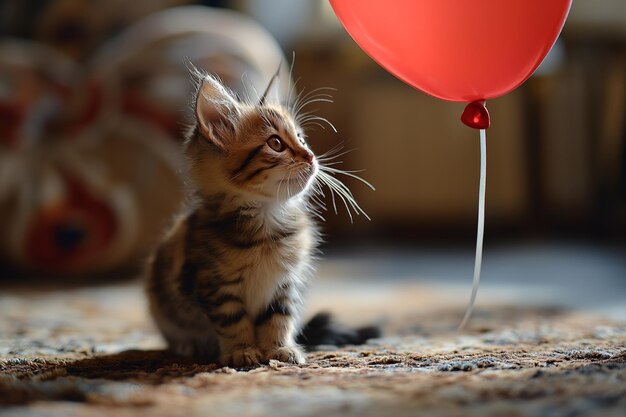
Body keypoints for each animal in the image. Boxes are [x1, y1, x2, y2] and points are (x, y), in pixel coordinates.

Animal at [144, 67, 372, 364]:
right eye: (275, 143)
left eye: (301, 138)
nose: (311, 156)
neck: (268, 221)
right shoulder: (216, 286)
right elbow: (233, 321)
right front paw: (242, 351)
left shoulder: (285, 284)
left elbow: (279, 318)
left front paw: (279, 349)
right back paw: (188, 347)